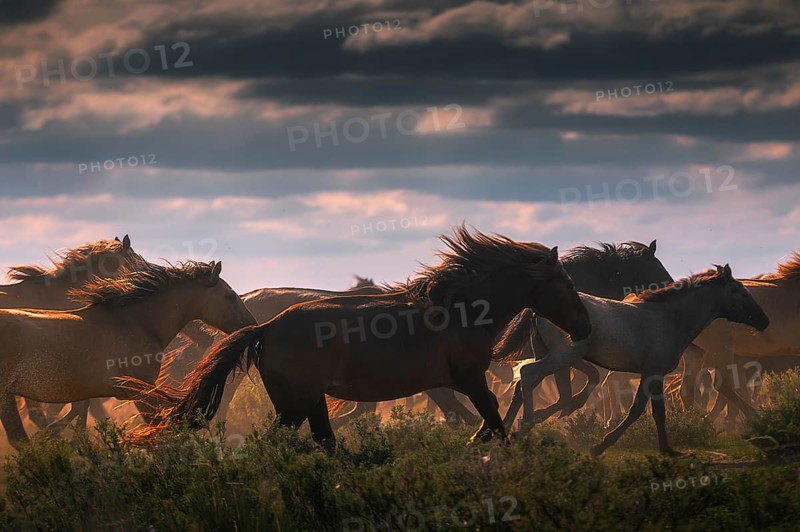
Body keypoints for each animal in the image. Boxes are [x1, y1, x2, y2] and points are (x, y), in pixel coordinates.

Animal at [0, 260, 256, 449]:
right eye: (230, 295)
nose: (251, 325)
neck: (135, 323)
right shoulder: (140, 391)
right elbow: (158, 432)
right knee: (20, 440)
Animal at [128, 226, 591, 447]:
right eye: (568, 283)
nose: (586, 326)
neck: (458, 311)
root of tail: (265, 329)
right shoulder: (468, 379)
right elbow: (491, 421)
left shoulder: (457, 384)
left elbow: (483, 421)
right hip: (294, 404)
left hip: (309, 401)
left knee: (325, 441)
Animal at [505, 265, 768, 455]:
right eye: (742, 293)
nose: (764, 321)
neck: (668, 319)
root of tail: (538, 310)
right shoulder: (653, 372)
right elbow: (640, 410)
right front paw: (601, 445)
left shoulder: (652, 374)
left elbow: (653, 411)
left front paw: (668, 449)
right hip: (563, 355)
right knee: (529, 376)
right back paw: (523, 427)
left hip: (549, 353)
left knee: (521, 387)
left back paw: (501, 432)